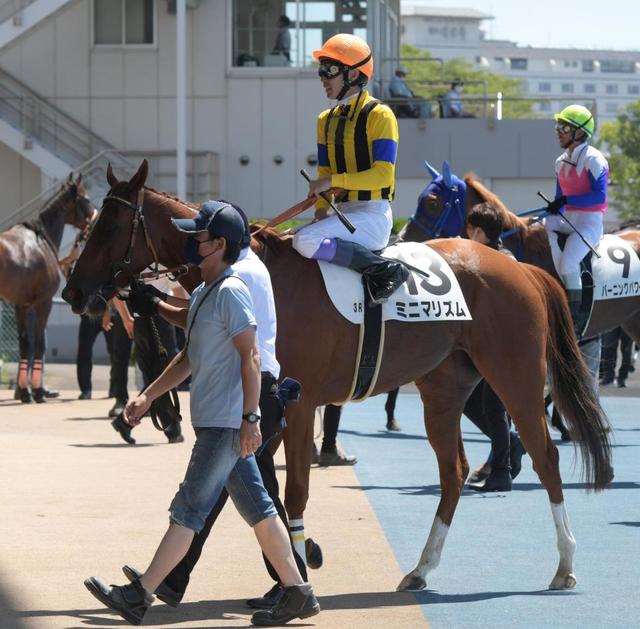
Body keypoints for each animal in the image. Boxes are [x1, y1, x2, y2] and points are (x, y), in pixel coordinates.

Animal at [0, 174, 94, 402]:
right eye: (86, 198)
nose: (95, 218)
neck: (40, 242)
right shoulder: (44, 303)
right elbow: (39, 343)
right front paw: (37, 391)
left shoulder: (21, 306)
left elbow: (25, 344)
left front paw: (25, 392)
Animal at [62, 160, 612, 593]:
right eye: (91, 225)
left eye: (108, 227)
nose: (73, 290)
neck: (252, 273)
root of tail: (521, 269)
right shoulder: (264, 410)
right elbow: (238, 487)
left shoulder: (295, 403)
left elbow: (288, 491)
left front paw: (292, 569)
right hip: (442, 388)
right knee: (452, 470)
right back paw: (421, 568)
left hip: (515, 377)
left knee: (544, 457)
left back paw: (564, 564)